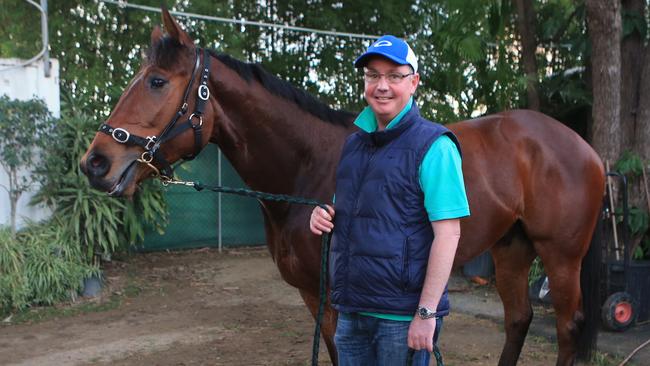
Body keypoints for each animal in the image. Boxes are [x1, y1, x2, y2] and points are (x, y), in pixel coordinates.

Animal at [79, 9, 604, 366]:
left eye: (157, 81)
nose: (95, 163)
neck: (310, 168)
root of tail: (583, 147)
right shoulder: (315, 297)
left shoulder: (337, 300)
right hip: (511, 248)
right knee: (518, 321)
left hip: (559, 255)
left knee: (566, 327)